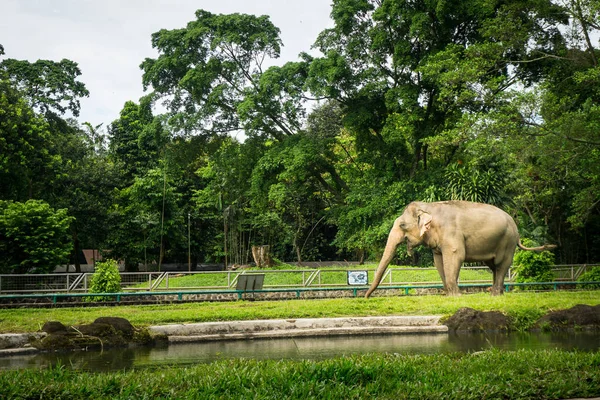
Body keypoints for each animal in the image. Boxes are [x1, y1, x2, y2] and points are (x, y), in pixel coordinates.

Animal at [366, 200, 556, 296]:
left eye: (403, 225)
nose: (368, 296)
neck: (429, 206)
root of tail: (516, 229)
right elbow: (439, 261)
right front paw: (450, 296)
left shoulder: (451, 233)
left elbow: (455, 256)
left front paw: (457, 297)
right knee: (493, 266)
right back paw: (496, 294)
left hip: (507, 241)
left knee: (501, 265)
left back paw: (495, 294)